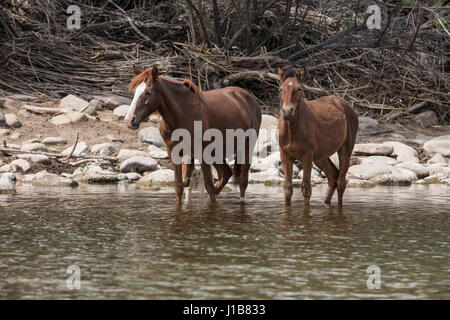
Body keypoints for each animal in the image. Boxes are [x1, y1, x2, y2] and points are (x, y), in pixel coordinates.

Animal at [125, 66, 262, 204]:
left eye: (148, 92)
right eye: (134, 92)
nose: (129, 120)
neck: (182, 115)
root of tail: (247, 97)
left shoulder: (202, 153)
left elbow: (208, 186)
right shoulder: (174, 152)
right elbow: (179, 186)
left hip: (246, 147)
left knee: (242, 182)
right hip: (217, 152)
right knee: (225, 174)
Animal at [278, 67, 358, 205]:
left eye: (299, 89)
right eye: (281, 89)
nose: (287, 112)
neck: (291, 131)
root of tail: (347, 107)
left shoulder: (307, 156)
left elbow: (306, 189)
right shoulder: (285, 155)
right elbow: (287, 189)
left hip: (345, 149)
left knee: (341, 182)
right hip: (320, 157)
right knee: (333, 176)